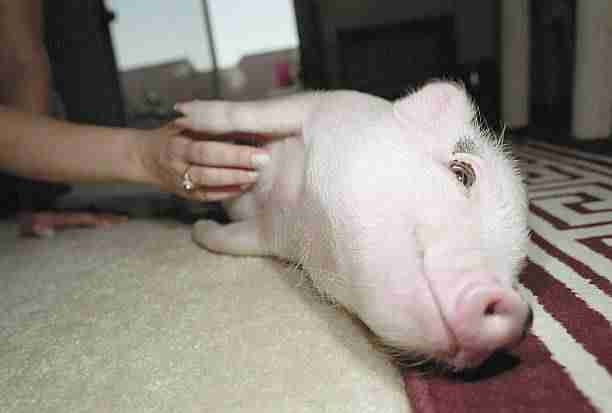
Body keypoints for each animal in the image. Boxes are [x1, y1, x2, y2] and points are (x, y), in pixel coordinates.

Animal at [176, 81, 532, 370]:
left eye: (516, 273)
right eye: (462, 173)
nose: (521, 313)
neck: (304, 208)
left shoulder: (269, 234)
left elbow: (227, 240)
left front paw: (199, 229)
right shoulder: (316, 103)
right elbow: (249, 114)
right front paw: (183, 114)